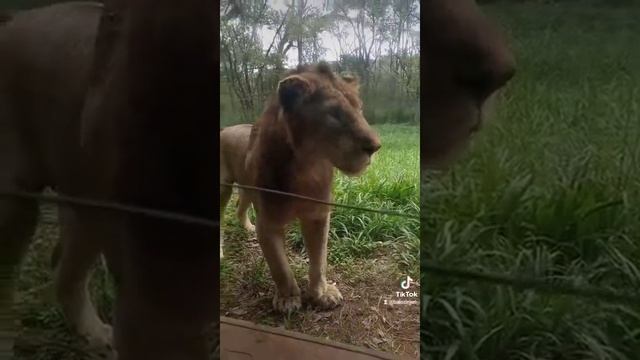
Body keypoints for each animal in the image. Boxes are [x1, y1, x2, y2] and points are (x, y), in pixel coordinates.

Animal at [220, 64, 380, 312]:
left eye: (359, 109)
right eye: (334, 113)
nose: (375, 146)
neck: (305, 169)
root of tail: (226, 128)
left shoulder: (318, 215)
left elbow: (319, 260)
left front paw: (322, 294)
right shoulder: (268, 221)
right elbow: (279, 266)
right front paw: (287, 298)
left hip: (246, 188)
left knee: (240, 207)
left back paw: (247, 227)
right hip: (223, 187)